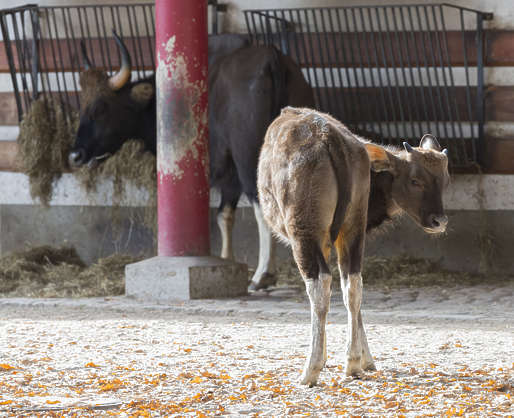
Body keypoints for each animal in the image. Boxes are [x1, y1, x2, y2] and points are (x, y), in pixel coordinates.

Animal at [68, 33, 315, 290]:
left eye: (100, 107)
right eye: (82, 105)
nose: (76, 155)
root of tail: (271, 59)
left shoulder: (228, 173)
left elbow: (224, 214)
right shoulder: (229, 177)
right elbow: (224, 215)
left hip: (250, 160)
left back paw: (262, 274)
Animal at [257, 107, 449, 386]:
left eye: (444, 180)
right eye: (415, 180)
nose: (439, 221)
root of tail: (327, 135)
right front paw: (365, 360)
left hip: (304, 229)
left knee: (321, 286)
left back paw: (310, 369)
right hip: (351, 227)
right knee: (353, 285)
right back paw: (352, 364)